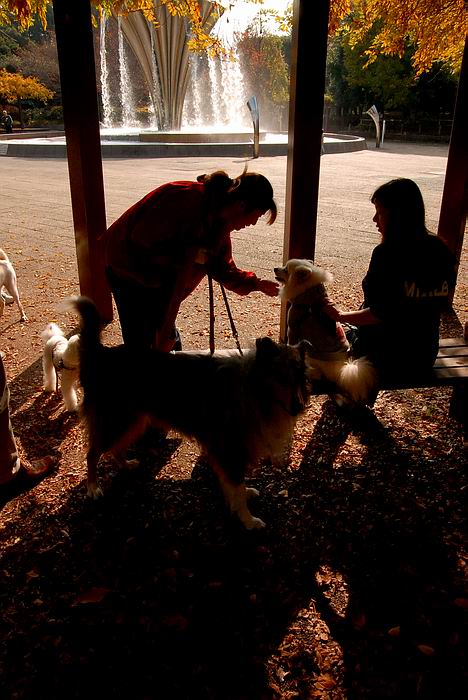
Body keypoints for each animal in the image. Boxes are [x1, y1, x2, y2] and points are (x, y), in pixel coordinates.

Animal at [73, 296, 316, 532]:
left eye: (298, 377)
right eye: (280, 377)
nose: (297, 408)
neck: (253, 389)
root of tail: (101, 353)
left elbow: (234, 485)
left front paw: (243, 496)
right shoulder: (230, 450)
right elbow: (236, 488)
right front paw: (249, 520)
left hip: (133, 421)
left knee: (114, 448)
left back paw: (126, 465)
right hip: (117, 420)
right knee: (92, 453)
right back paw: (93, 488)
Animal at [274, 260, 376, 404]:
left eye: (286, 270)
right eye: (284, 266)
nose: (275, 268)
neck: (308, 295)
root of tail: (341, 370)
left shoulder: (292, 327)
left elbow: (290, 344)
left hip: (313, 355)